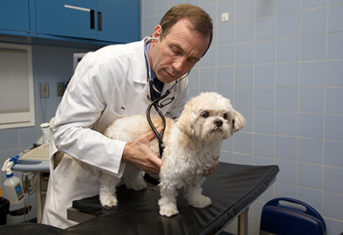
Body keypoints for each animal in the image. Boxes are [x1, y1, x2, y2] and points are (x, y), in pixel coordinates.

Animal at [98, 92, 246, 217]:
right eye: (205, 114)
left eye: (225, 116)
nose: (219, 122)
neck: (200, 145)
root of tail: (114, 124)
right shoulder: (170, 174)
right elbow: (168, 193)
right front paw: (169, 209)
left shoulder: (197, 174)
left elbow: (194, 190)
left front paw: (198, 201)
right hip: (122, 157)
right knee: (107, 181)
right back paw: (107, 198)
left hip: (135, 157)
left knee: (131, 171)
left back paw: (134, 185)